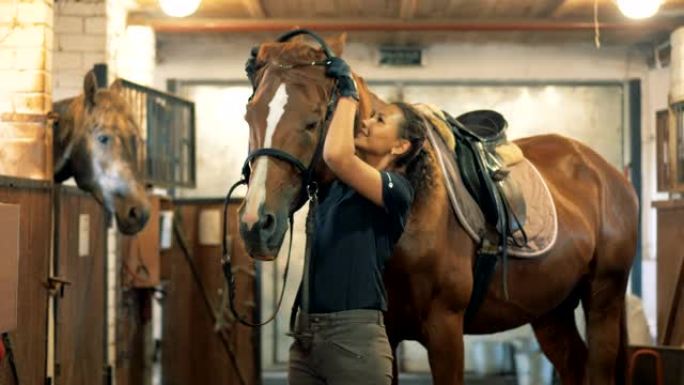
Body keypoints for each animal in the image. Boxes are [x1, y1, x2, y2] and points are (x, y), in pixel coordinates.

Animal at [238, 33, 640, 384]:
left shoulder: (445, 328)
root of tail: (605, 172)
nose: (256, 224)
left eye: (313, 120)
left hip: (603, 299)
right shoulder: (388, 333)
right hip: (550, 311)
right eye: (250, 116)